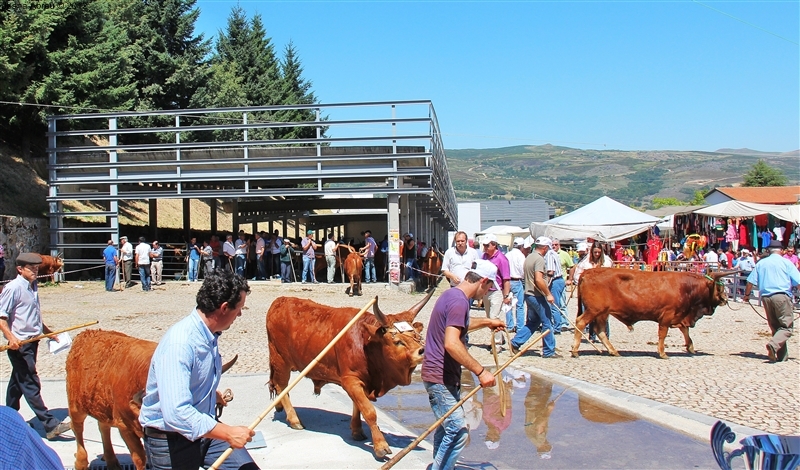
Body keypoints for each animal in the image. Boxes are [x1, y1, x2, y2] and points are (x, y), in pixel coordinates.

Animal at [67, 330, 236, 470]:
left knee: (103, 426)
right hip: (76, 405)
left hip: (103, 406)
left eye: (216, 407)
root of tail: (85, 333)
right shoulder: (125, 426)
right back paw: (81, 462)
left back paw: (112, 462)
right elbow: (140, 458)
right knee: (77, 428)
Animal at [268, 290, 432, 458]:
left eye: (417, 336)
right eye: (397, 341)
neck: (365, 344)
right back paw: (294, 419)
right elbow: (369, 411)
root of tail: (280, 300)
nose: (421, 351)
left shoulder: (363, 381)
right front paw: (380, 445)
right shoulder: (350, 380)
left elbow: (358, 405)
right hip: (280, 360)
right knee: (281, 386)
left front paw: (357, 430)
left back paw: (280, 407)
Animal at [572, 270, 728, 358]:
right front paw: (662, 353)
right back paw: (575, 350)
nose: (725, 299)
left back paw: (613, 351)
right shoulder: (668, 314)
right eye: (719, 287)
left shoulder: (679, 315)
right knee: (581, 322)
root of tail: (588, 271)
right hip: (594, 310)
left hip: (603, 312)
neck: (686, 287)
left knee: (600, 330)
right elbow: (663, 334)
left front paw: (690, 347)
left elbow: (685, 330)